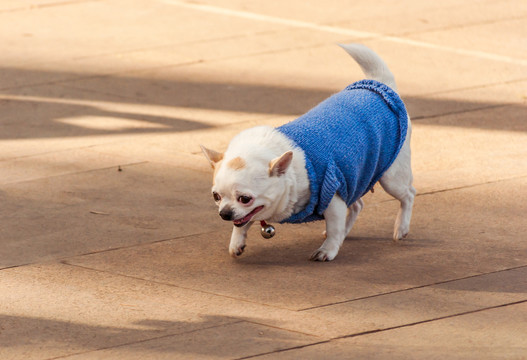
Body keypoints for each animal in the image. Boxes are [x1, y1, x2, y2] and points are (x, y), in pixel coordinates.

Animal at [202, 43, 416, 260]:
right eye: (216, 197)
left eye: (245, 199)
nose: (224, 213)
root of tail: (380, 84)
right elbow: (242, 223)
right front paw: (236, 242)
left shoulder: (333, 195)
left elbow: (334, 228)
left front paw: (327, 250)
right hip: (354, 177)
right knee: (357, 205)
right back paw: (348, 232)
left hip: (391, 177)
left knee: (408, 194)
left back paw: (401, 228)